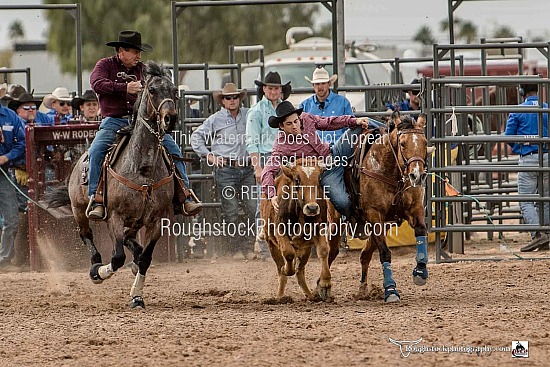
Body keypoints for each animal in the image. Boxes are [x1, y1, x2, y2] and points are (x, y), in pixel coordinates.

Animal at [46, 61, 179, 310]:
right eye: (152, 90)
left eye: (175, 91)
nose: (170, 119)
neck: (142, 168)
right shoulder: (114, 217)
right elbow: (117, 257)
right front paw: (100, 273)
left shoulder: (157, 220)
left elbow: (146, 259)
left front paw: (137, 296)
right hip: (79, 209)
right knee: (86, 234)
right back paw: (95, 266)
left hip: (135, 221)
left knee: (131, 242)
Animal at [354, 113, 436, 304]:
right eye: (403, 143)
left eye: (424, 142)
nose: (417, 175)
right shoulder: (374, 215)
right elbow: (385, 253)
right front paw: (390, 290)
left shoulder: (415, 209)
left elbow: (421, 231)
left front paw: (420, 272)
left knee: (364, 254)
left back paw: (363, 290)